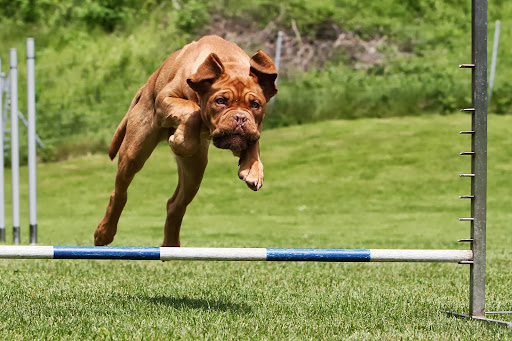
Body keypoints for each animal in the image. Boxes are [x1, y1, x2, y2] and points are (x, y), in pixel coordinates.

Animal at [94, 35, 278, 246]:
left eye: (255, 104)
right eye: (220, 101)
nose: (239, 117)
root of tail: (146, 85)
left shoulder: (254, 129)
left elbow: (254, 141)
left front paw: (253, 169)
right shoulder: (165, 99)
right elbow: (192, 109)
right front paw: (181, 140)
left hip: (195, 169)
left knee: (175, 205)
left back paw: (171, 245)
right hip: (134, 153)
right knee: (119, 193)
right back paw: (104, 233)